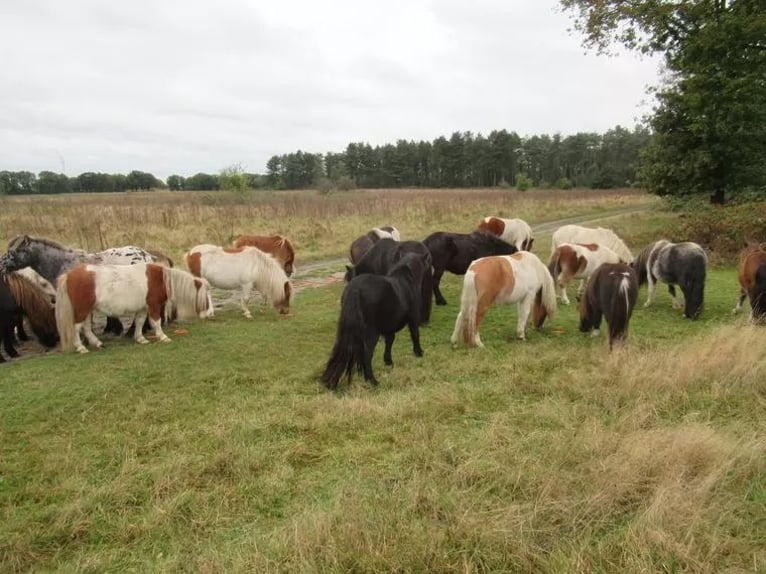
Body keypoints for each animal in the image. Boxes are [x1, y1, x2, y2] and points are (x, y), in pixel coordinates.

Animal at [55, 263, 210, 354]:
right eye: (206, 295)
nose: (208, 314)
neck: (160, 279)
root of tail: (68, 275)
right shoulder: (153, 305)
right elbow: (156, 322)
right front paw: (163, 337)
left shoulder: (143, 308)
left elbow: (140, 322)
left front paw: (140, 338)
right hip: (82, 310)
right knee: (77, 328)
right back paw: (81, 347)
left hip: (87, 310)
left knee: (86, 328)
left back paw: (97, 343)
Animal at [321, 252, 429, 389]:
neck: (406, 281)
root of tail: (355, 289)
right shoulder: (413, 318)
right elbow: (415, 335)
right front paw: (419, 353)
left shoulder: (389, 327)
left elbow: (389, 341)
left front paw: (388, 362)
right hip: (372, 333)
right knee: (367, 354)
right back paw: (372, 380)